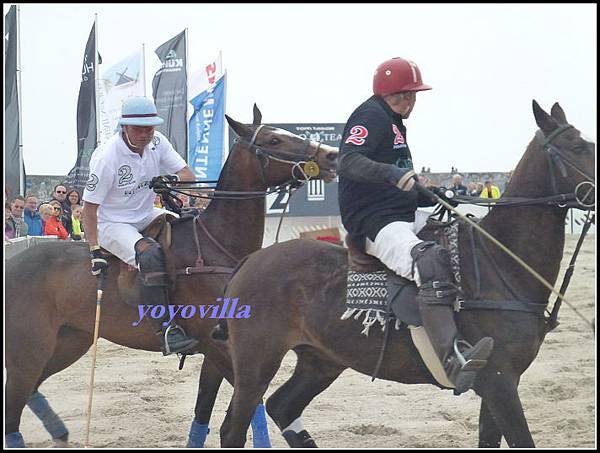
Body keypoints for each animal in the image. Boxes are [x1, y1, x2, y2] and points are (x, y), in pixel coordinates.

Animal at [3, 104, 338, 446]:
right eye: (273, 140)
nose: (331, 155)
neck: (217, 244)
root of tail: (12, 264)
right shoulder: (222, 348)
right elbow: (246, 410)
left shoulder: (217, 351)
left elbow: (206, 413)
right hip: (29, 350)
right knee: (12, 409)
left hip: (69, 342)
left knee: (30, 390)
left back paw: (59, 432)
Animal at [216, 101, 596, 444]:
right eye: (578, 147)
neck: (501, 261)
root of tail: (249, 262)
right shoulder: (499, 381)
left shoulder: (502, 384)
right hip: (256, 362)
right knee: (235, 427)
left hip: (321, 360)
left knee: (282, 406)